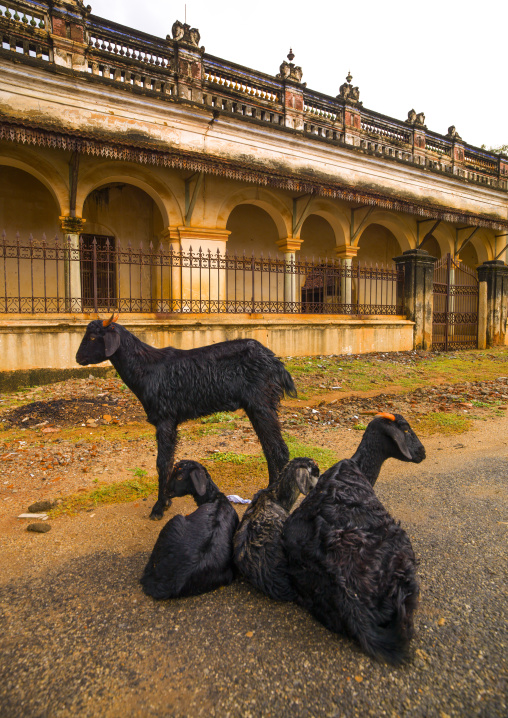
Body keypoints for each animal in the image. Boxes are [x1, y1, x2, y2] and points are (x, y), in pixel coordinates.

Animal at [75, 313, 296, 519]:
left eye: (93, 337)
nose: (78, 358)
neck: (145, 367)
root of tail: (276, 362)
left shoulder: (165, 418)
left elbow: (162, 463)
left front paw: (159, 506)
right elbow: (168, 461)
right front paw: (164, 501)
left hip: (261, 404)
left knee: (279, 449)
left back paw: (272, 493)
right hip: (256, 407)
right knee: (269, 447)